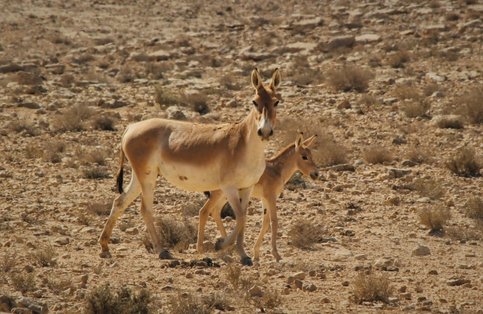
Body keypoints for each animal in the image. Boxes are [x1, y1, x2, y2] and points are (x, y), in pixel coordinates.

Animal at [100, 68, 282, 264]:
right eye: (254, 102)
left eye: (276, 101)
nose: (264, 132)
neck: (243, 144)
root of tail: (131, 127)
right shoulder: (228, 187)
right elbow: (240, 217)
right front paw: (221, 245)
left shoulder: (246, 187)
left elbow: (244, 217)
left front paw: (243, 255)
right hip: (147, 177)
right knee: (145, 209)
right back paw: (162, 251)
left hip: (140, 175)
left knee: (119, 202)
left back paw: (104, 247)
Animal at [199, 134, 320, 262]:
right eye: (304, 156)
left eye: (312, 155)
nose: (316, 174)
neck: (277, 170)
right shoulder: (271, 197)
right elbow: (274, 221)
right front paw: (276, 254)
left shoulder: (265, 199)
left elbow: (265, 223)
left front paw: (256, 254)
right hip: (219, 193)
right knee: (204, 211)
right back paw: (202, 249)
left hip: (226, 195)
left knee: (215, 211)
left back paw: (227, 246)